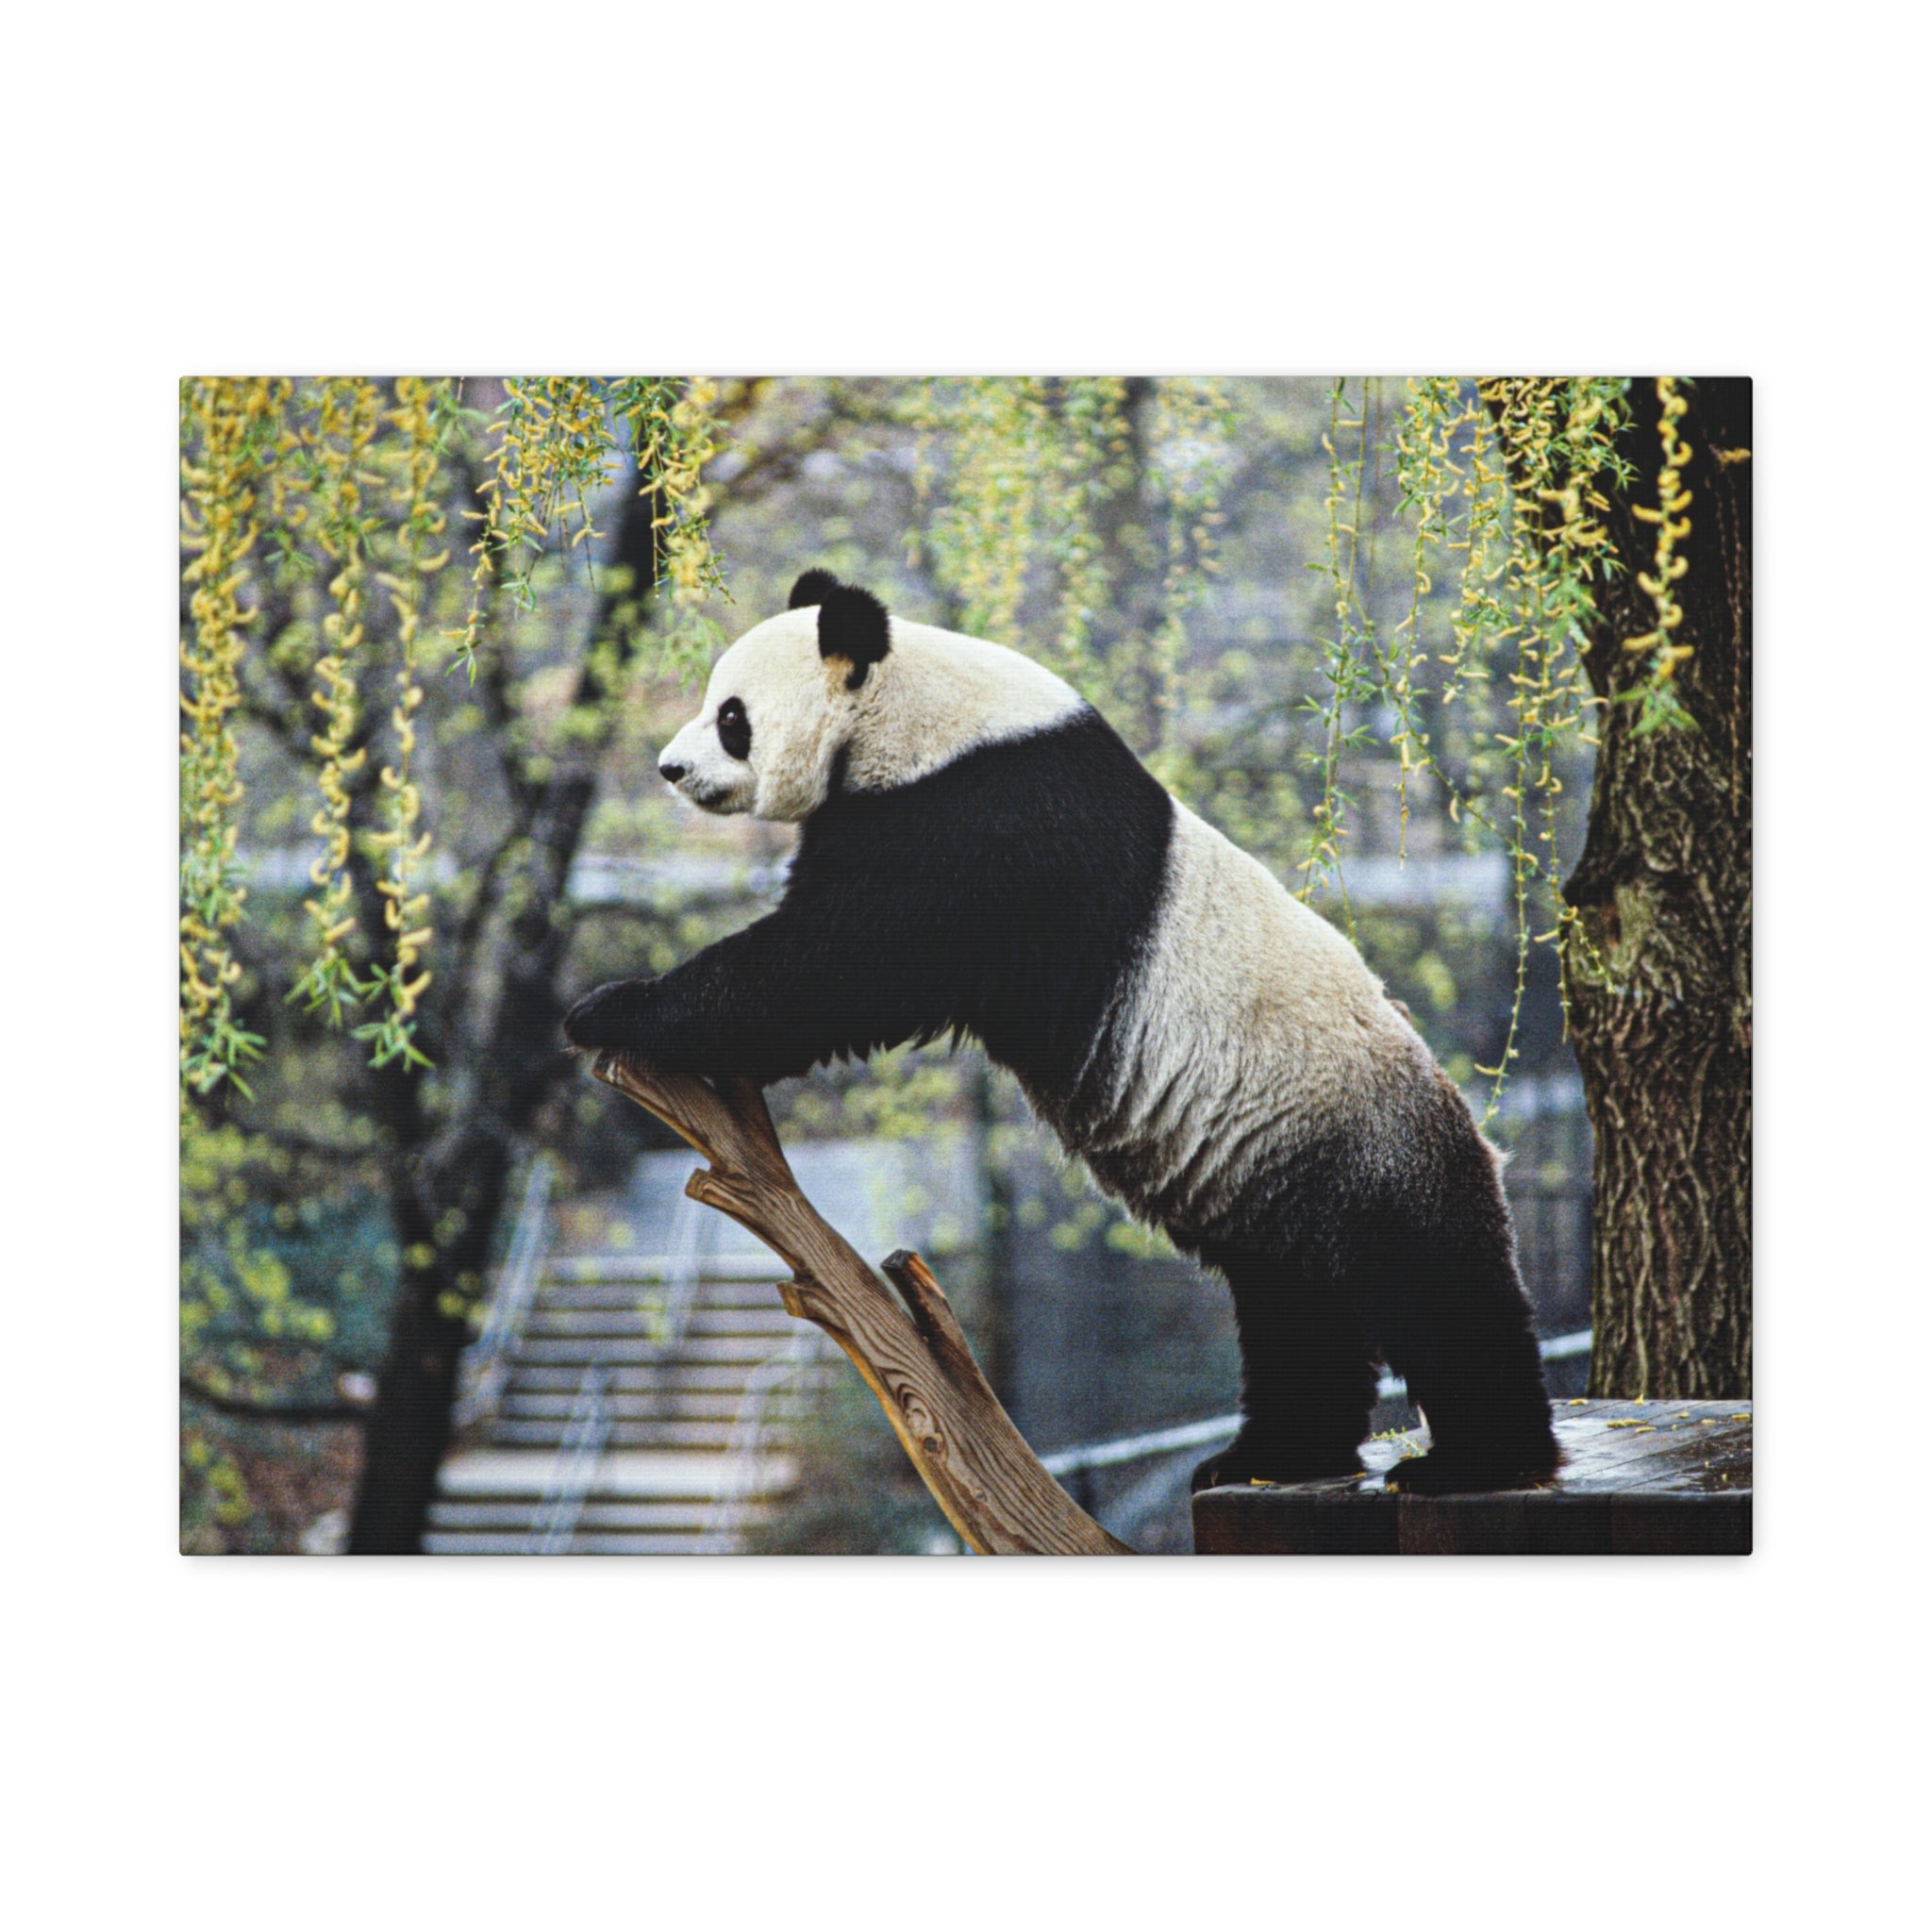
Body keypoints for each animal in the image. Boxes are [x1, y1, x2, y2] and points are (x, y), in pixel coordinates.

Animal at [565, 569, 1558, 1496]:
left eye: (731, 716)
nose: (670, 769)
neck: (915, 711)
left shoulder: (982, 821)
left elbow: (839, 964)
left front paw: (613, 1008)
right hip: (1278, 1180)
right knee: (1294, 1314)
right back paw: (1267, 1457)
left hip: (1361, 1144)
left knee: (1434, 1289)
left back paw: (1478, 1462)